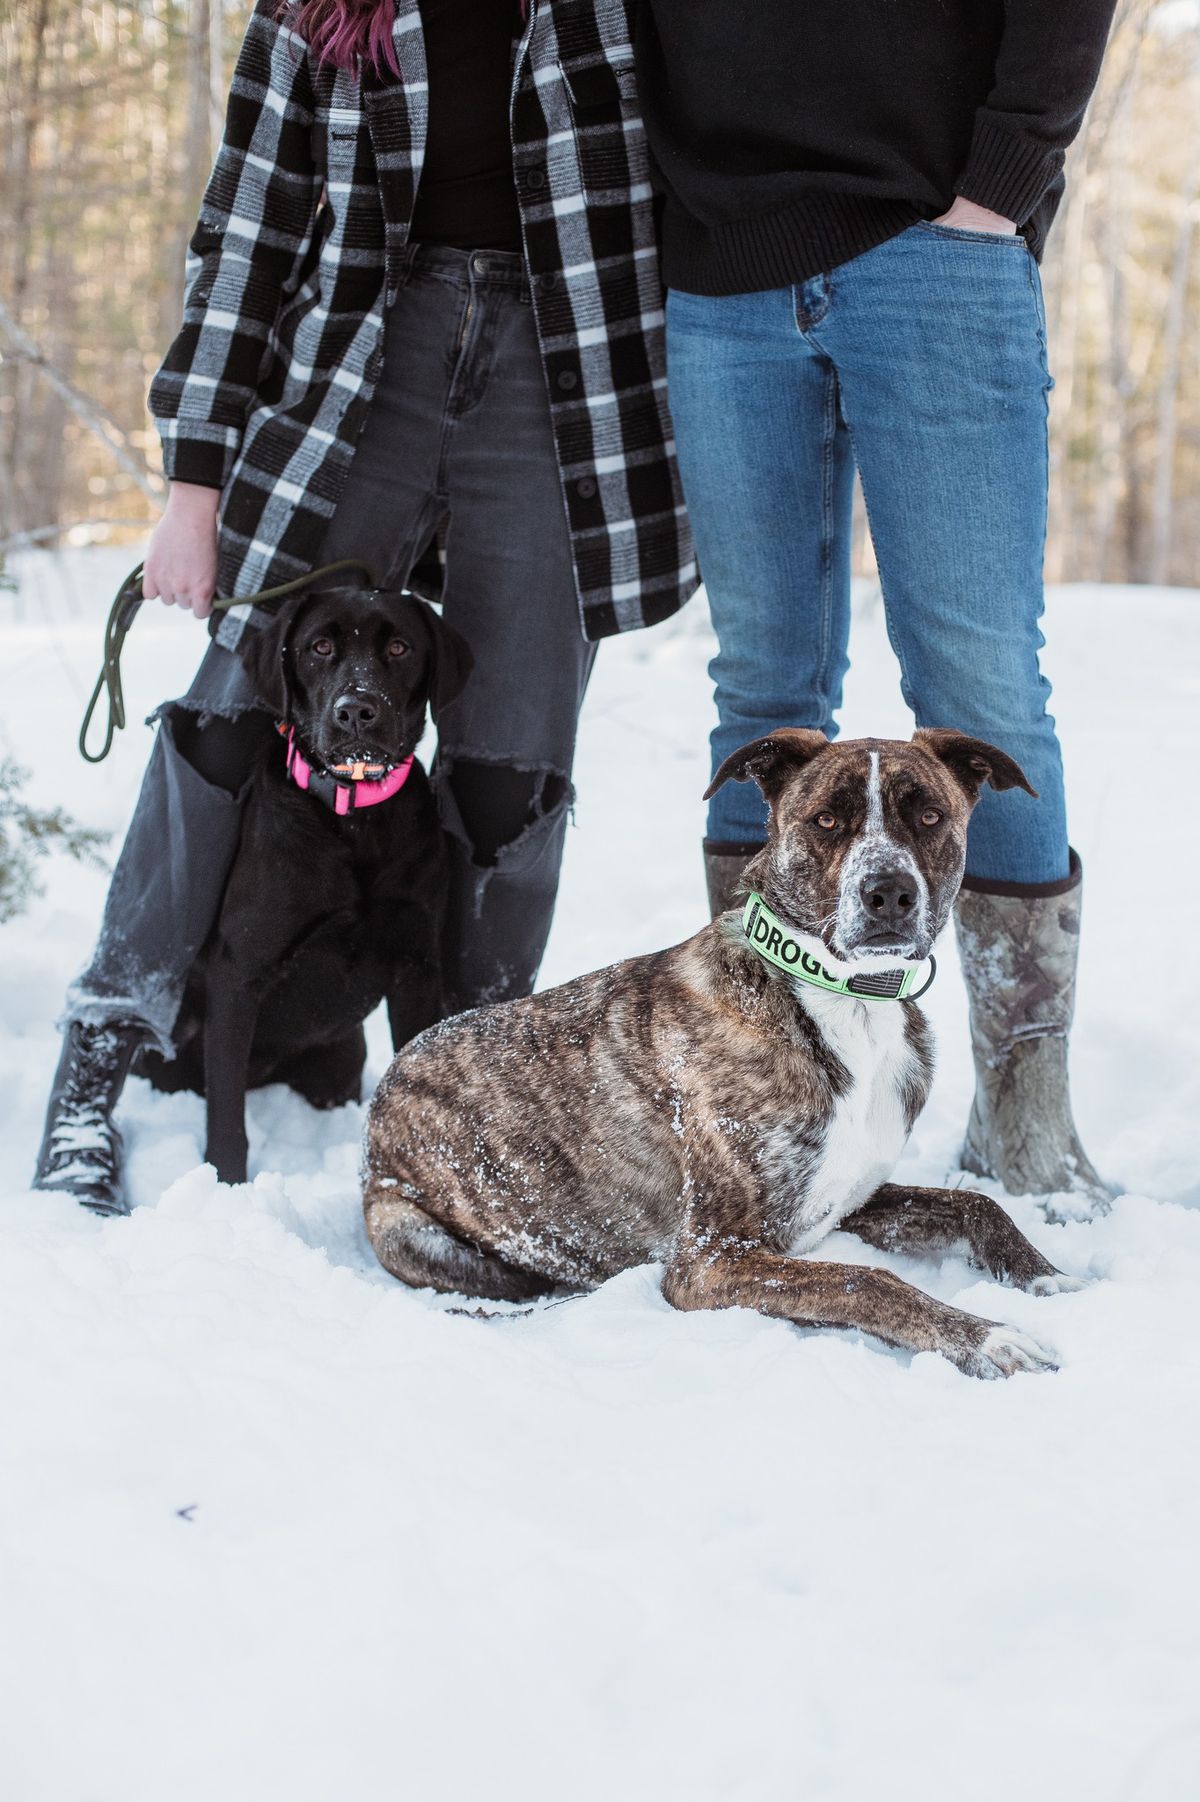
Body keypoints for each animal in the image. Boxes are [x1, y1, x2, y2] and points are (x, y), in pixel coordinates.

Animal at [142, 583, 468, 1189]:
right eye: (319, 647)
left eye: (398, 648)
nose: (356, 710)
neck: (355, 819)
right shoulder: (239, 973)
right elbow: (227, 1114)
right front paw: (228, 1186)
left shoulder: (416, 966)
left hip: (340, 1059)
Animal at [360, 731, 1081, 1376]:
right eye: (826, 820)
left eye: (929, 816)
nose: (890, 894)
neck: (843, 1001)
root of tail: (380, 1100)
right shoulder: (711, 1259)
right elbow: (867, 1282)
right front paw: (988, 1337)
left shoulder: (848, 1197)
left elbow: (977, 1205)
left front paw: (1052, 1280)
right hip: (412, 1230)